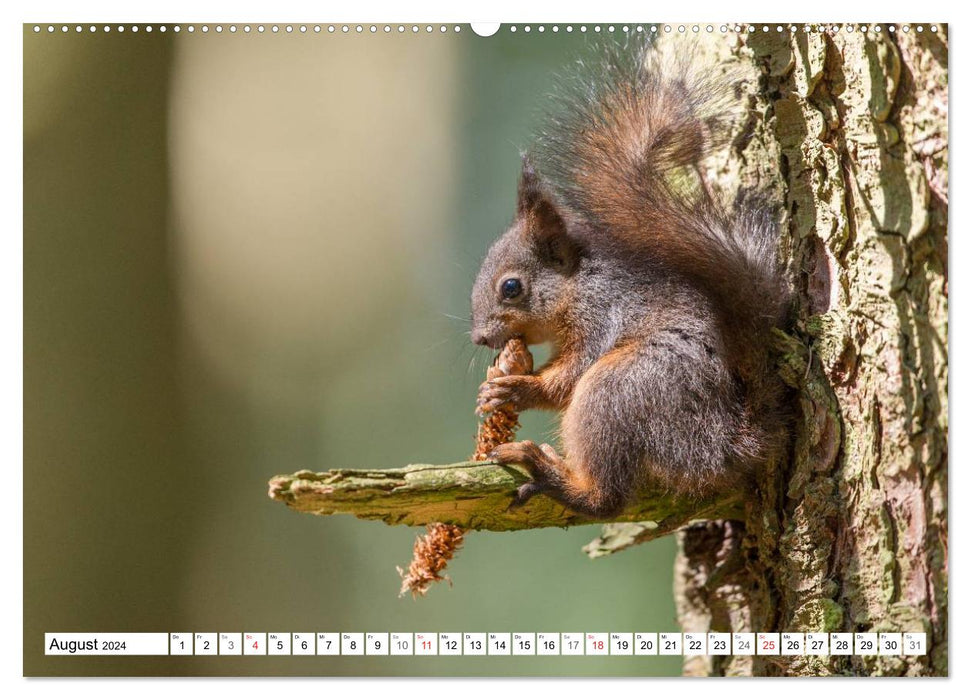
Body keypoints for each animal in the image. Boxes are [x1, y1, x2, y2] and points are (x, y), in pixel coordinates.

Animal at [472, 39, 796, 520]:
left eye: (510, 287)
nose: (479, 339)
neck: (578, 284)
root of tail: (726, 444)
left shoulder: (602, 314)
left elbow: (569, 376)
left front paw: (516, 387)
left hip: (618, 389)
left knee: (607, 499)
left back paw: (549, 473)